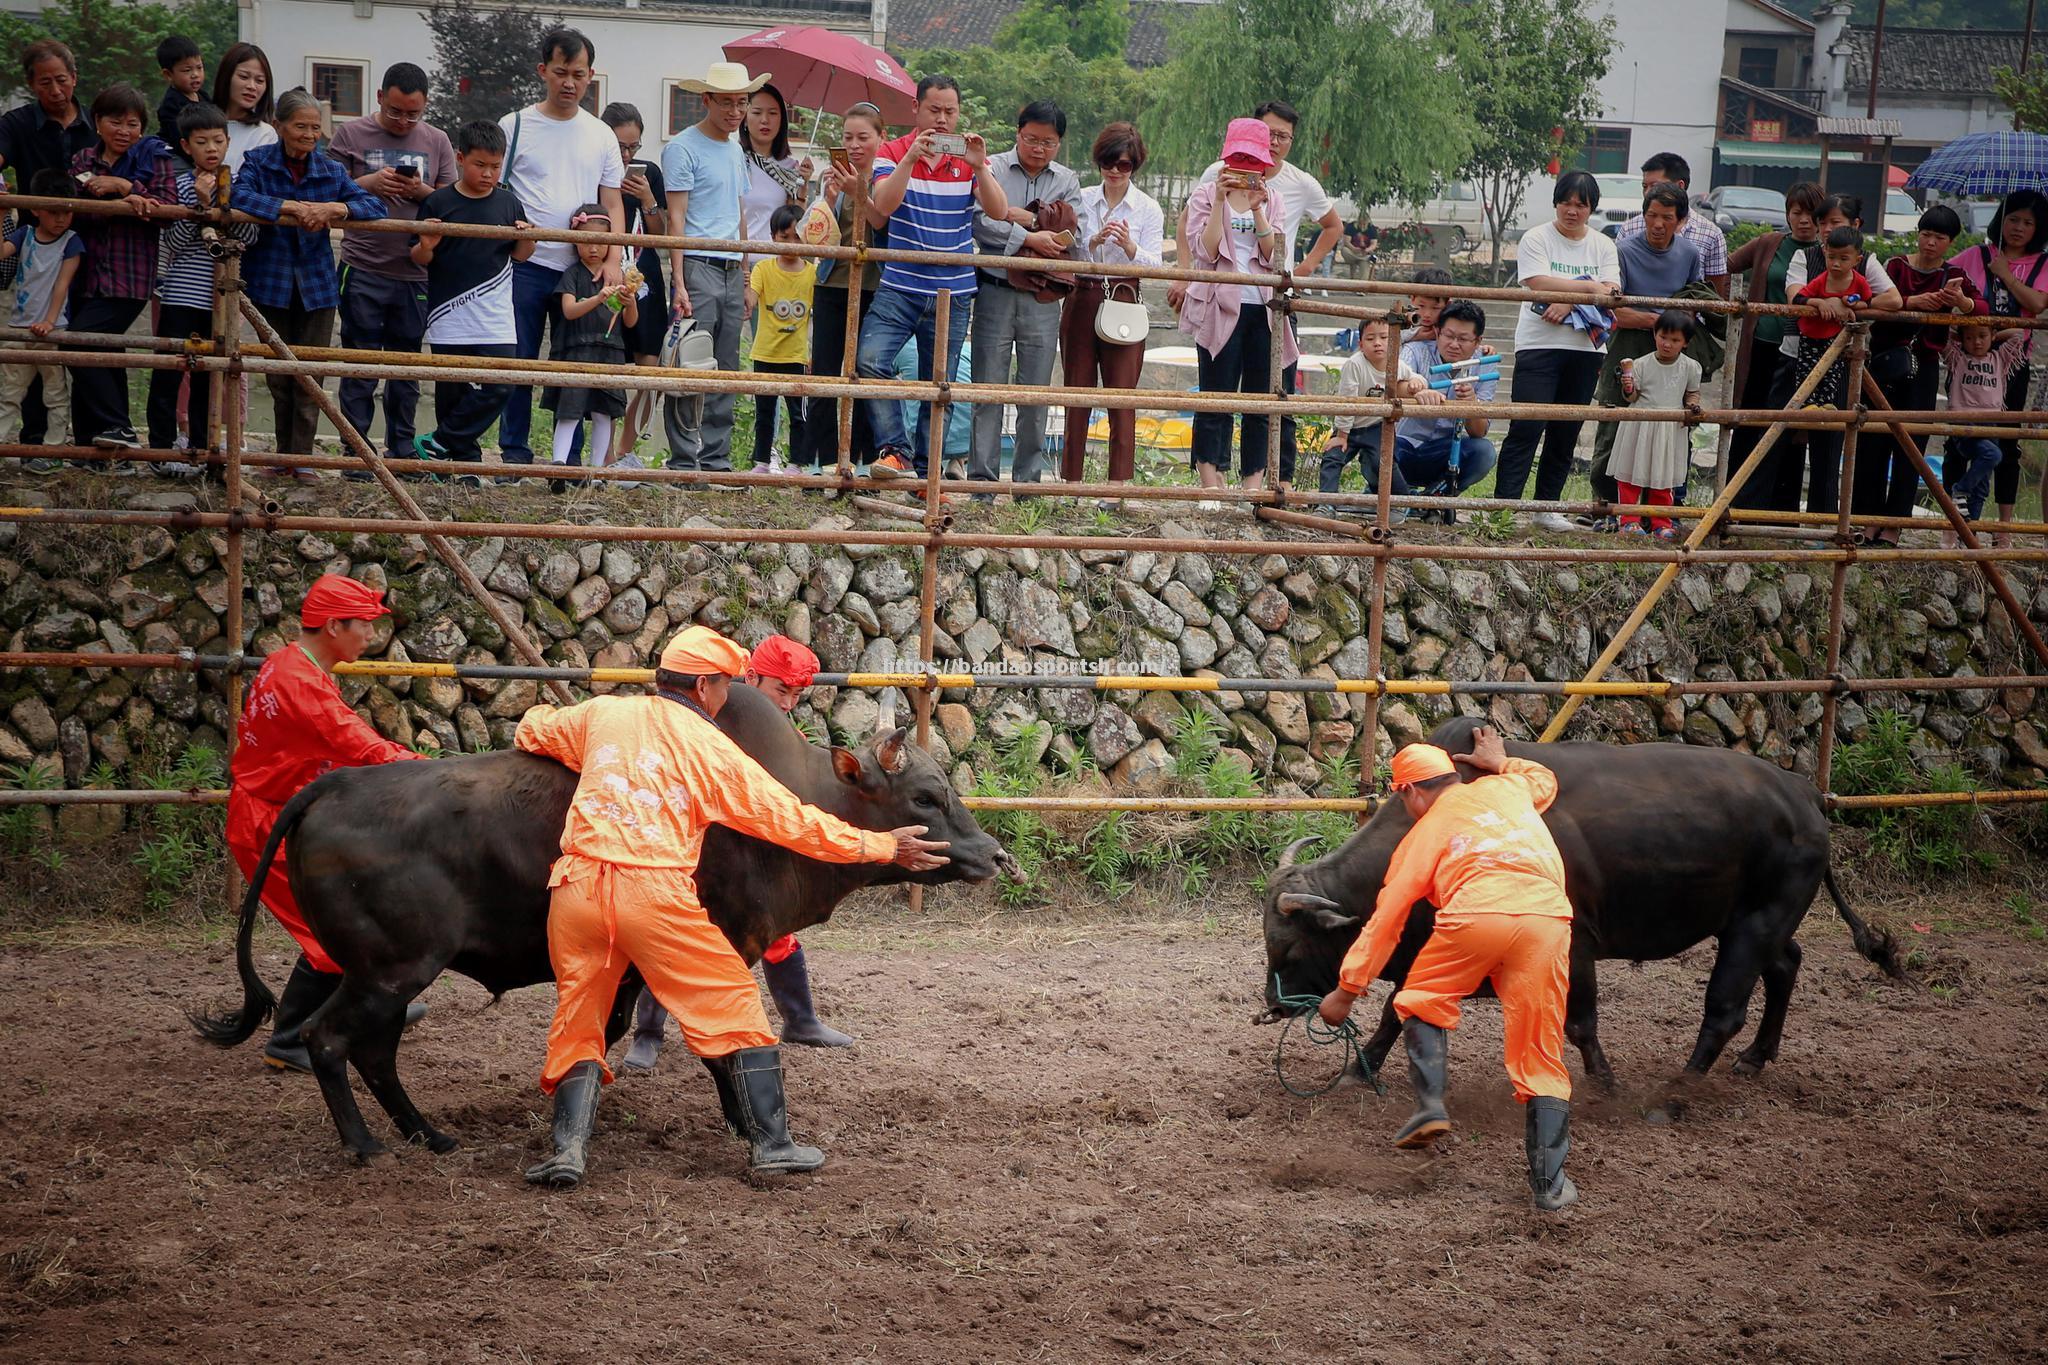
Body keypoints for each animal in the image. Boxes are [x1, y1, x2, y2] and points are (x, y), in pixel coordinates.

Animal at [195, 687, 1011, 1162]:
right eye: (927, 796)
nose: (994, 854)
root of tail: (329, 786)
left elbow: (609, 1034)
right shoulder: (711, 951)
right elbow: (722, 1047)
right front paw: (753, 1131)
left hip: (390, 978)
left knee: (374, 1054)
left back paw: (430, 1134)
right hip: (388, 972)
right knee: (331, 1041)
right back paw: (366, 1146)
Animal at [1261, 716, 1900, 1088]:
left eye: (1288, 948)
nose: (1273, 1006)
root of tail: (1802, 791)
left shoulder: (1575, 945)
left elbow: (1580, 1023)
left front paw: (1603, 1081)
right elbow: (1399, 1009)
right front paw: (1361, 1067)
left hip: (1755, 925)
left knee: (1735, 999)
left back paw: (1691, 1080)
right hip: (1751, 922)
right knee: (1787, 965)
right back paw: (1755, 1057)